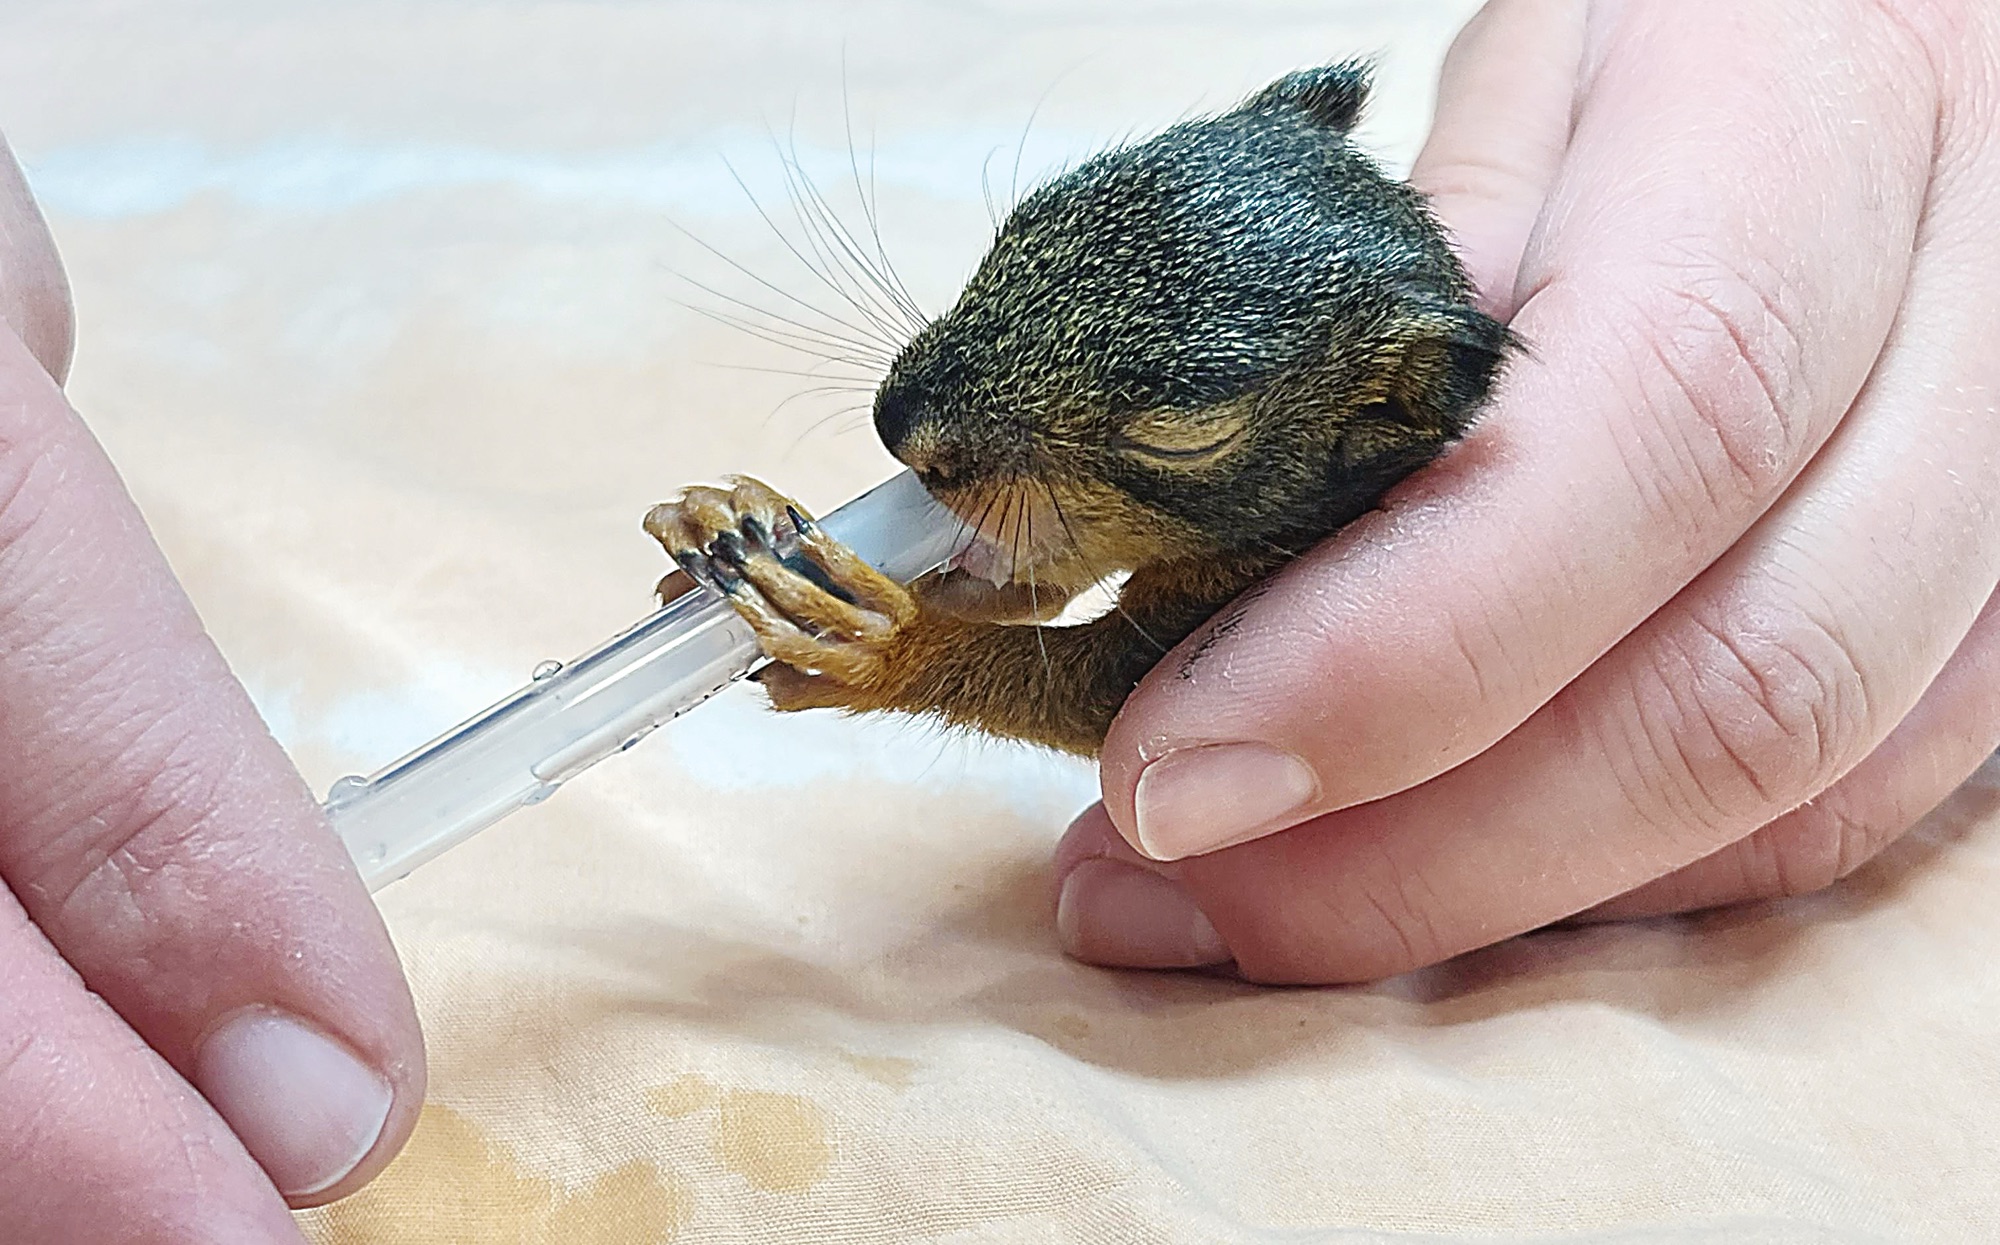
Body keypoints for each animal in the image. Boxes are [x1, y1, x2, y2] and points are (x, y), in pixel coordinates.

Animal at [645, 63, 1512, 757]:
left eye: (1184, 438)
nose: (902, 426)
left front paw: (885, 637)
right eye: (1028, 215)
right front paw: (722, 518)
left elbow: (1072, 691)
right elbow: (1027, 574)